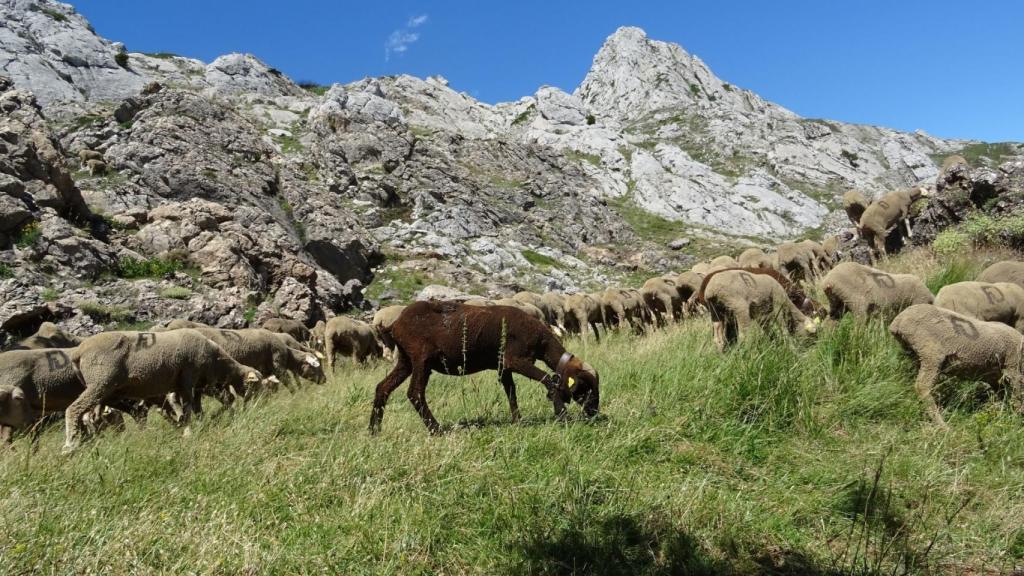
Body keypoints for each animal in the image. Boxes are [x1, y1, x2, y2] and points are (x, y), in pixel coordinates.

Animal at [368, 301, 598, 430]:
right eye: (585, 386)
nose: (595, 413)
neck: (542, 342)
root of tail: (395, 325)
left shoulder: (503, 366)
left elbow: (511, 391)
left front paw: (518, 421)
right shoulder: (515, 360)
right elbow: (548, 380)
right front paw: (562, 415)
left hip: (406, 359)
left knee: (382, 387)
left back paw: (374, 430)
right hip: (421, 358)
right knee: (415, 393)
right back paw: (436, 429)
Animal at [888, 303, 1024, 424]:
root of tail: (898, 321)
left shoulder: (994, 376)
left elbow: (1004, 394)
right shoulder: (1013, 366)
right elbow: (1017, 394)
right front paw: (1018, 417)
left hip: (916, 355)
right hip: (931, 353)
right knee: (922, 386)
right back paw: (943, 426)